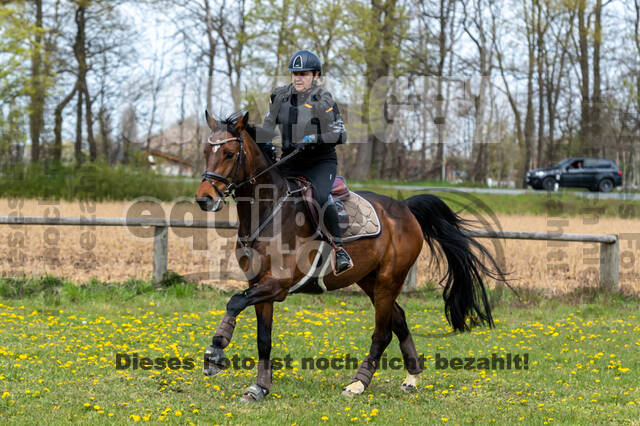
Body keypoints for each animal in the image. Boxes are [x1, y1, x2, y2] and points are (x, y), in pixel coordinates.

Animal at [192, 110, 502, 402]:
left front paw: (215, 351)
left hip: (389, 280)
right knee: (399, 319)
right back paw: (411, 378)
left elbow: (234, 302)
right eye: (206, 152)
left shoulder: (277, 284)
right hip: (369, 280)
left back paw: (358, 384)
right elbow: (263, 339)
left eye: (229, 153)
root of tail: (405, 208)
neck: (269, 211)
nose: (204, 199)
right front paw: (259, 387)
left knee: (383, 332)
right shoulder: (258, 285)